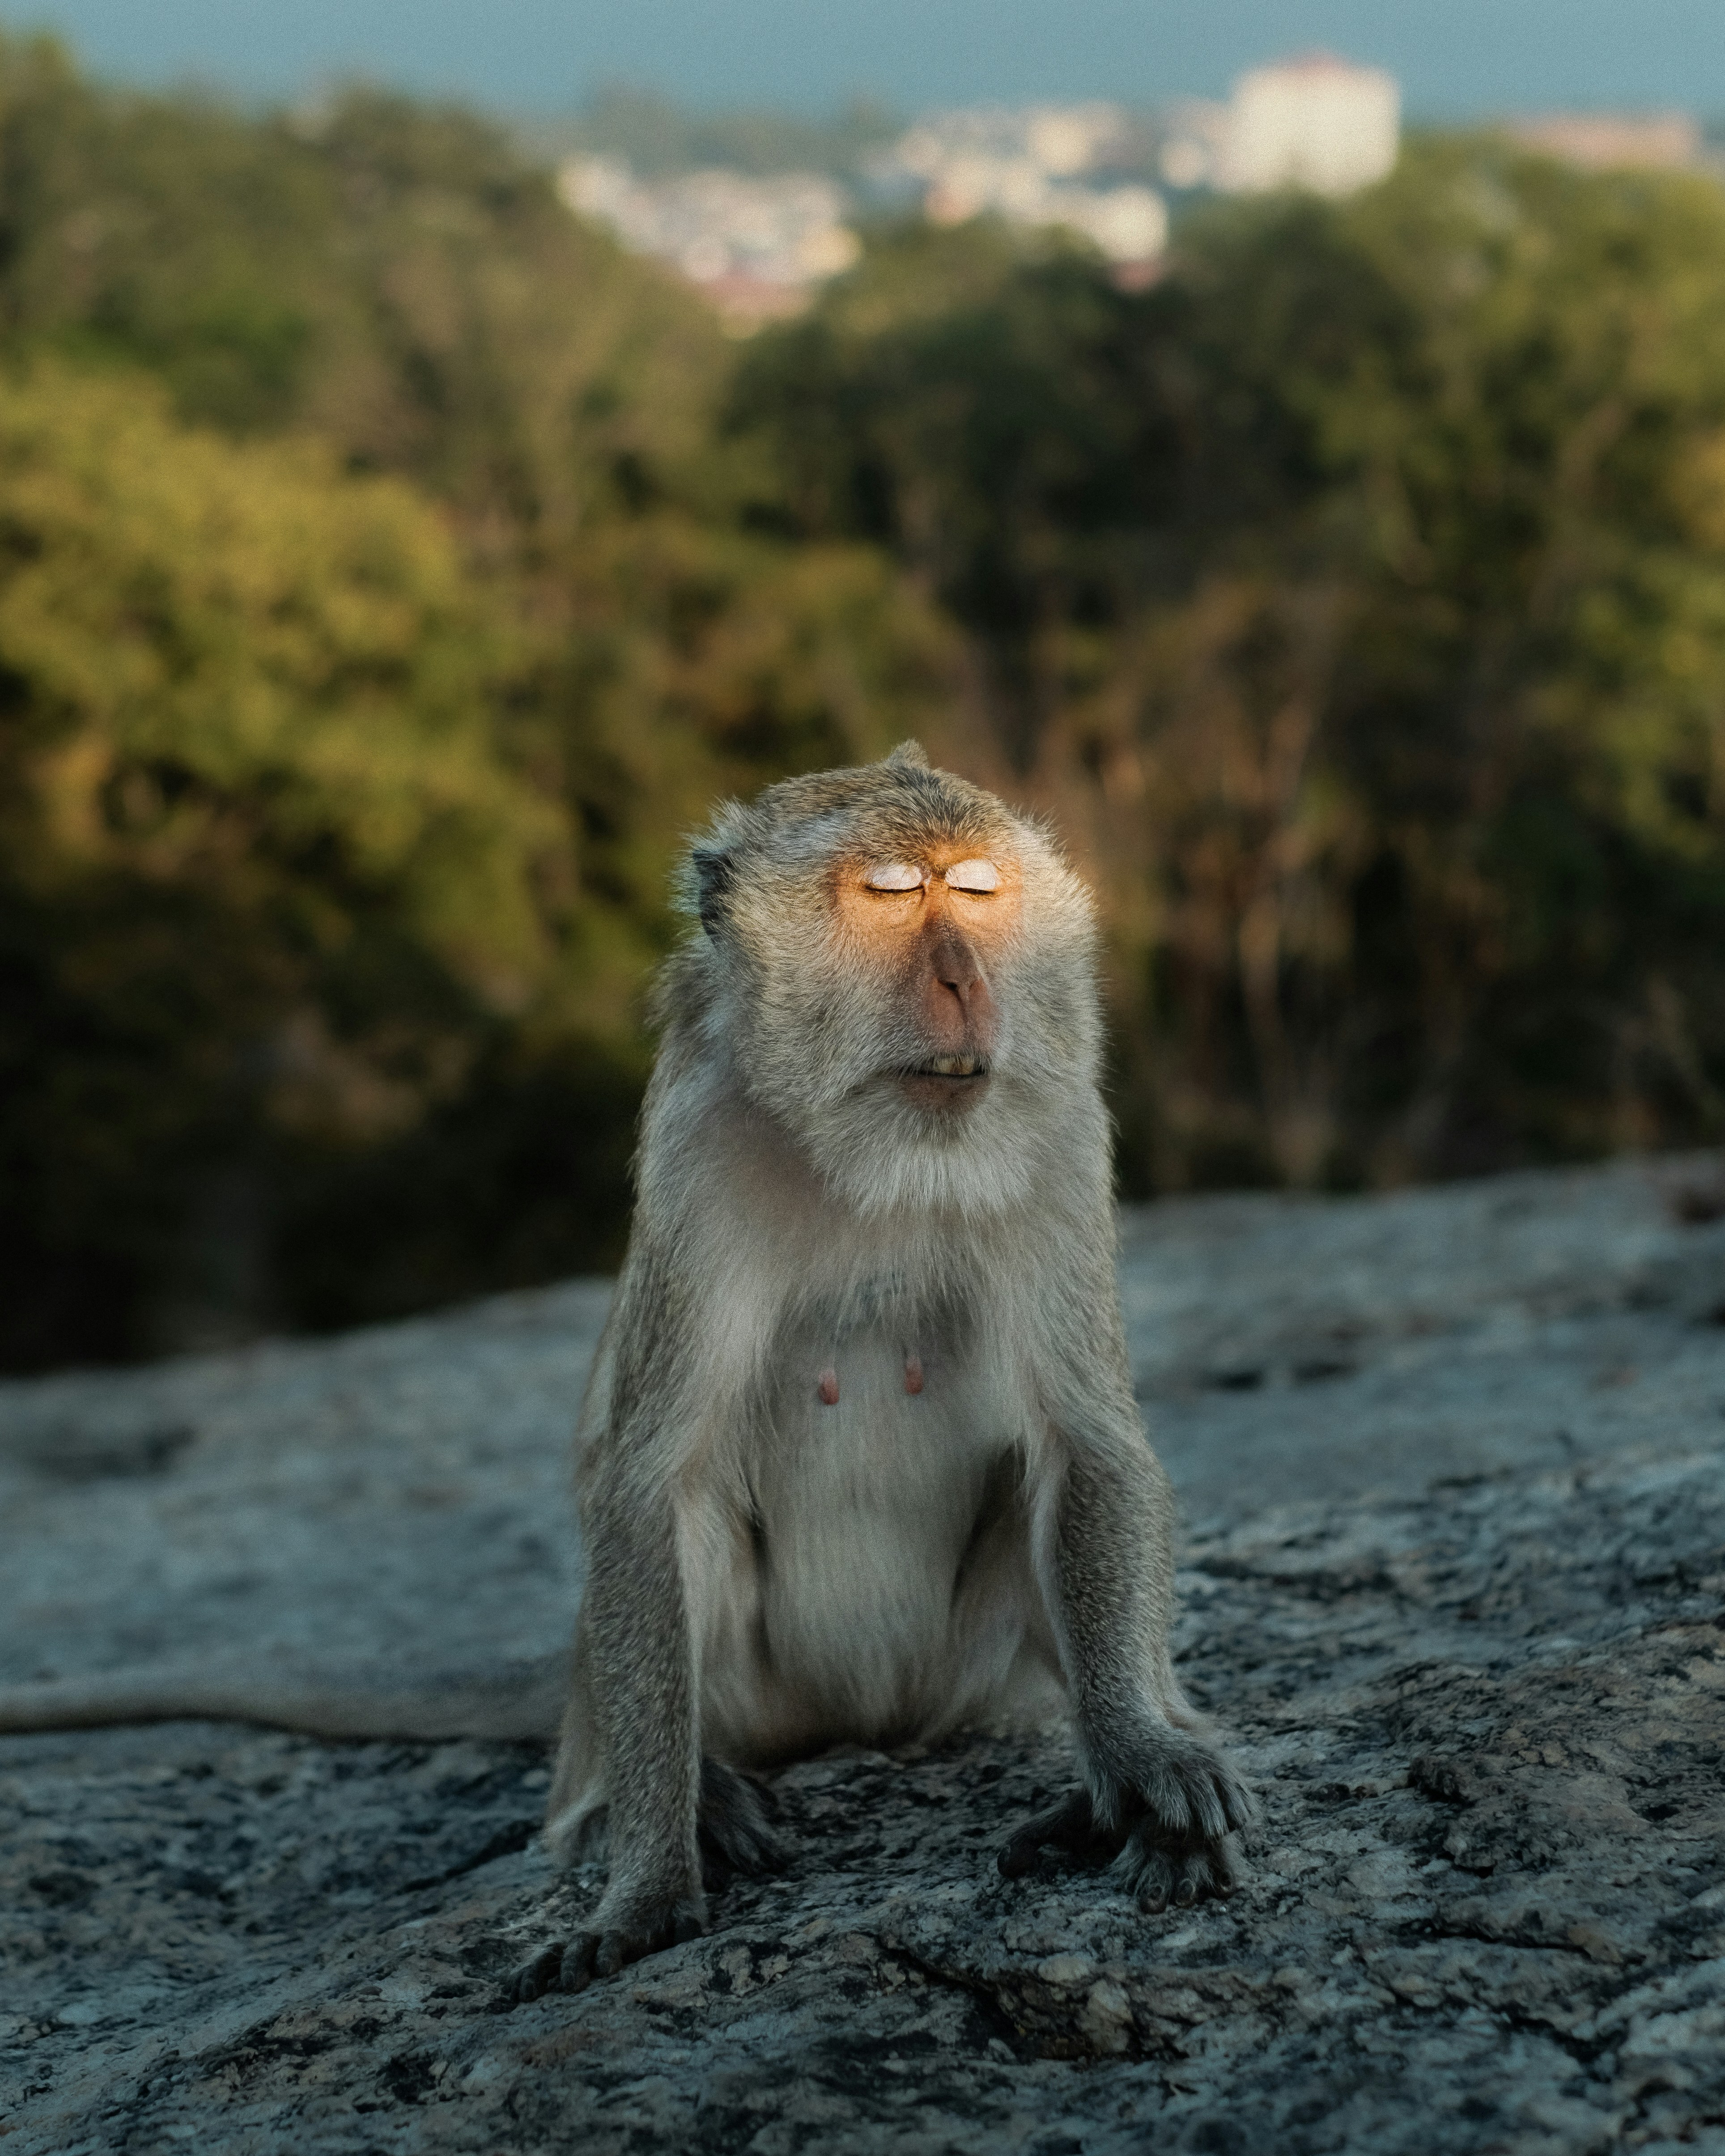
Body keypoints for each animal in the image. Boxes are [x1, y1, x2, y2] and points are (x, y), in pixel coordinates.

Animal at [505, 740, 1251, 2006]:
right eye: (895, 896)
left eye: (979, 892)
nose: (962, 980)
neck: (883, 1158)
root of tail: (869, 1724)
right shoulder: (697, 1153)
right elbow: (651, 1486)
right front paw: (646, 1880)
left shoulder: (1057, 1128)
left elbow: (1086, 1441)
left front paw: (1143, 1759)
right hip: (751, 1696)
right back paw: (663, 1801)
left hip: (966, 1680)